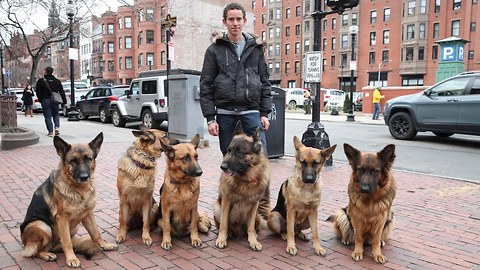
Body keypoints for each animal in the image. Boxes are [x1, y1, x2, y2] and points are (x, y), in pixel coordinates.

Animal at [20, 133, 118, 268]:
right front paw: (72, 258)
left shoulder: (88, 214)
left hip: (74, 227)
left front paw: (105, 245)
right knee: (35, 251)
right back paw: (46, 254)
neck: (79, 190)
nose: (84, 177)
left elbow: (96, 233)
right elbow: (67, 242)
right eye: (73, 161)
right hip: (41, 225)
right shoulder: (62, 218)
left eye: (88, 159)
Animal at [213, 120, 270, 251]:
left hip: (257, 216)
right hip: (217, 208)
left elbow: (251, 228)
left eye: (239, 152)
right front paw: (221, 239)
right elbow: (224, 224)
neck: (246, 181)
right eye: (229, 150)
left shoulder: (254, 205)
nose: (222, 167)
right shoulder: (226, 202)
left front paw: (253, 241)